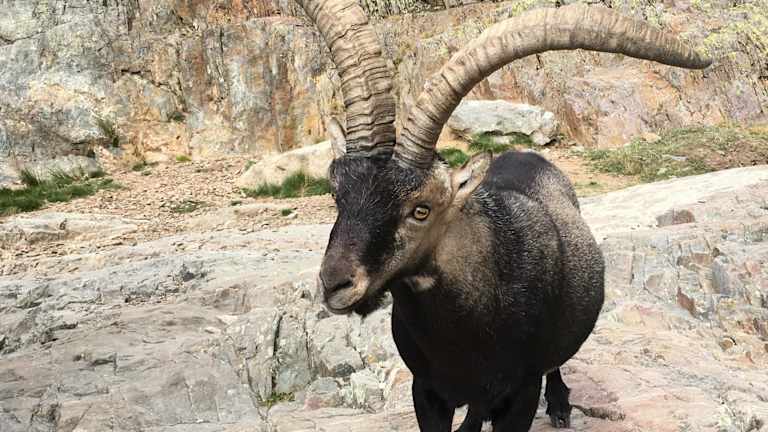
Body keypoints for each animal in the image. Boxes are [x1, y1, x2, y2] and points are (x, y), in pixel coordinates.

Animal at [293, 1, 712, 430]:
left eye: (421, 209)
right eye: (337, 194)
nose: (335, 283)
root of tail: (525, 155)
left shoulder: (519, 392)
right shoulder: (426, 391)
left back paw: (560, 404)